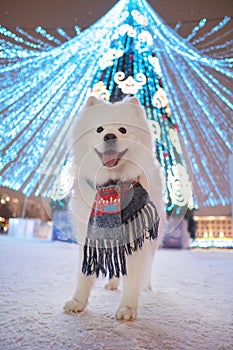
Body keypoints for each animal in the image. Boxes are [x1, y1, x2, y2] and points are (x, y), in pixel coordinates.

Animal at [63, 95, 166, 320]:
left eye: (123, 130)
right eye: (99, 129)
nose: (109, 136)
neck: (111, 185)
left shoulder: (137, 240)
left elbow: (133, 276)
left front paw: (127, 309)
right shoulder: (90, 232)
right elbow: (84, 273)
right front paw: (78, 302)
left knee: (147, 266)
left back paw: (147, 286)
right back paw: (112, 283)